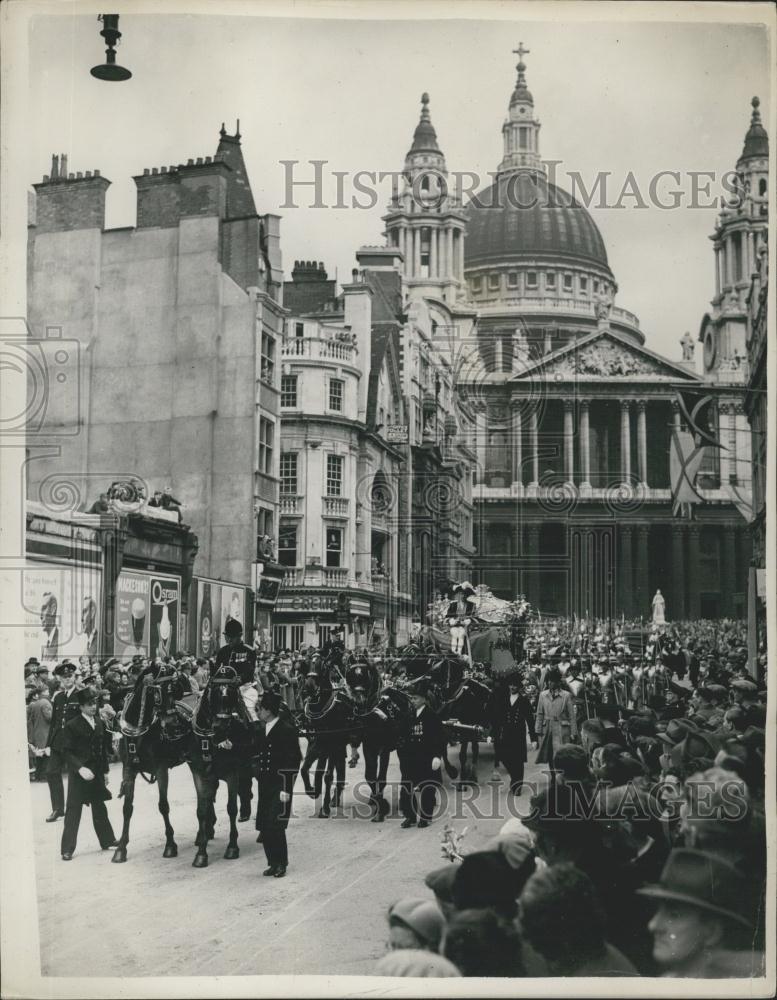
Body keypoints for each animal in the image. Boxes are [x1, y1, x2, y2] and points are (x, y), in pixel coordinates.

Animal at [112, 660, 197, 864]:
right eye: (157, 691)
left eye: (176, 688)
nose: (174, 725)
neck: (139, 730)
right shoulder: (129, 769)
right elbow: (127, 808)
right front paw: (121, 848)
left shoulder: (161, 769)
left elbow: (163, 806)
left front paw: (170, 845)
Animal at [187, 664, 255, 868]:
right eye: (213, 692)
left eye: (233, 693)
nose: (221, 727)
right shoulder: (200, 774)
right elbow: (201, 810)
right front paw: (201, 853)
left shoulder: (232, 773)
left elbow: (231, 808)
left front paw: (232, 847)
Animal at [298, 660, 354, 816]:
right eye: (307, 660)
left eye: (322, 663)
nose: (309, 686)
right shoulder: (315, 743)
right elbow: (304, 769)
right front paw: (312, 790)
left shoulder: (333, 744)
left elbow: (327, 776)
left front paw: (325, 807)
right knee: (339, 767)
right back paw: (335, 797)